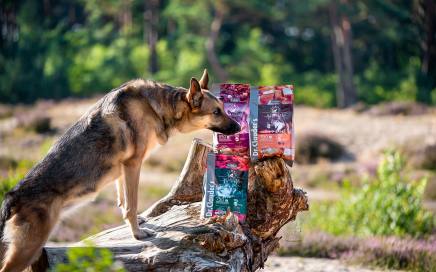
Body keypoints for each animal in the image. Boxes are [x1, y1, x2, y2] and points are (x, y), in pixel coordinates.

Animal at [0, 70, 238, 272]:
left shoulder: (123, 170)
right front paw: (138, 234)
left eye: (223, 108)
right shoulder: (133, 164)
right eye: (216, 112)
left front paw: (137, 223)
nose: (239, 128)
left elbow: (123, 202)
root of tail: (12, 196)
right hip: (27, 250)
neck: (157, 107)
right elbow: (131, 204)